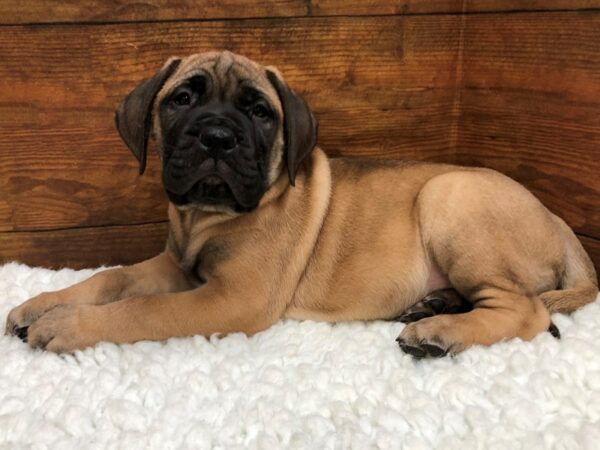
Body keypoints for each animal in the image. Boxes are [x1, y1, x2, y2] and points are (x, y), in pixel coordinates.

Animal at [5, 51, 600, 356]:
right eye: (182, 99)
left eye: (260, 112)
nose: (217, 137)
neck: (207, 218)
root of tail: (559, 223)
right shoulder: (178, 268)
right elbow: (113, 279)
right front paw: (44, 303)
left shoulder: (230, 298)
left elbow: (144, 310)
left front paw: (68, 326)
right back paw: (434, 305)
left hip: (448, 196)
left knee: (526, 311)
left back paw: (438, 332)